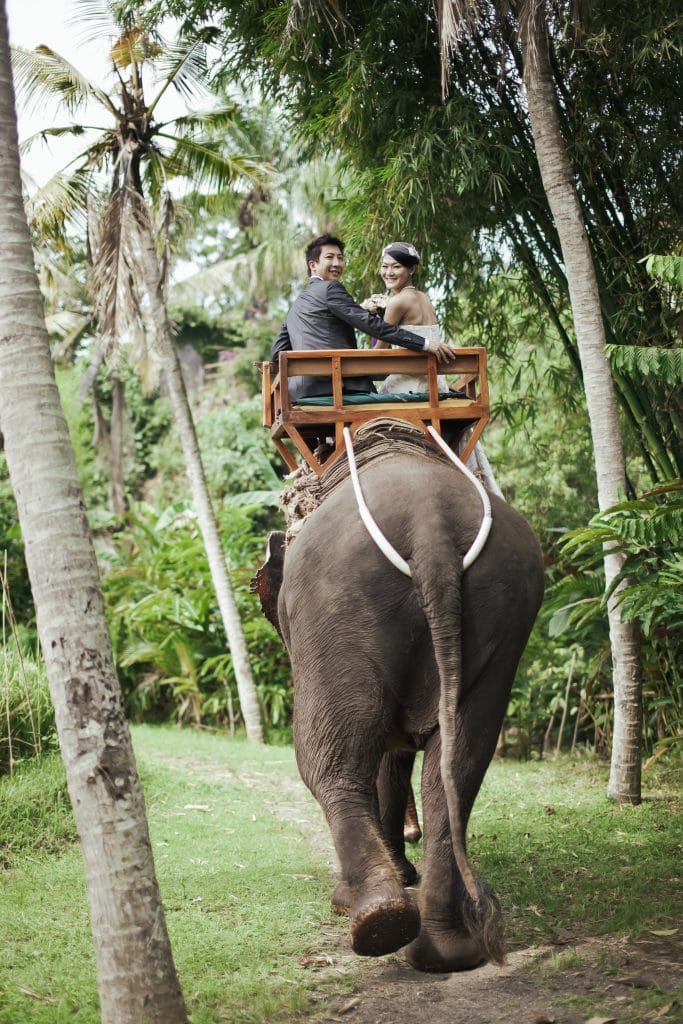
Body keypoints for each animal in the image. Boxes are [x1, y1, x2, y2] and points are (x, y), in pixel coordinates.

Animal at [255, 419, 544, 970]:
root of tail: (431, 528)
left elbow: (381, 755)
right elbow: (399, 757)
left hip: (339, 607)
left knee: (330, 763)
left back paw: (372, 918)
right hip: (505, 605)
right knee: (459, 766)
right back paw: (442, 951)